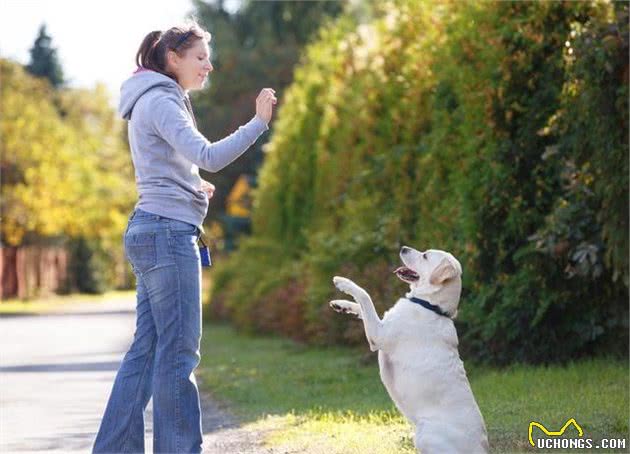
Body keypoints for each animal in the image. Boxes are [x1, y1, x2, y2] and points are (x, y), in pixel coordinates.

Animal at [330, 247, 488, 452]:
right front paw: (341, 304)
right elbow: (362, 307)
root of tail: (483, 448)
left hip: (423, 434)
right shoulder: (380, 324)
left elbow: (365, 296)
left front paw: (343, 282)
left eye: (425, 256)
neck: (431, 306)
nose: (403, 248)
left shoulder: (377, 335)